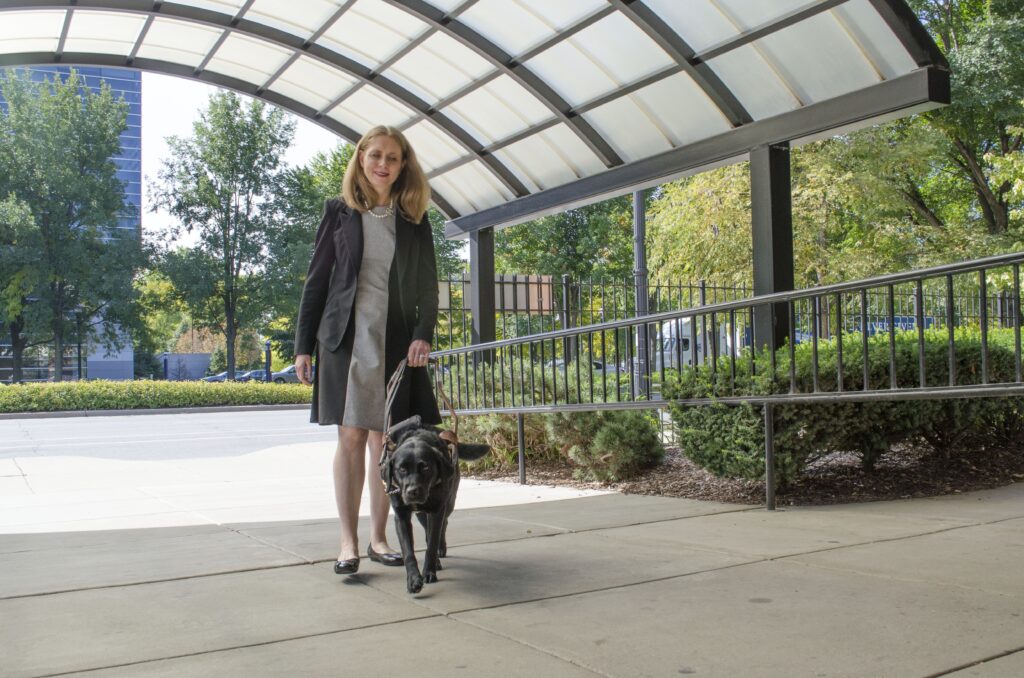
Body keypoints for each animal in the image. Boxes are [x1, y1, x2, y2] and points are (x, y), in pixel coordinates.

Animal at [385, 413, 491, 594]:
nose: (412, 491)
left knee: (443, 524)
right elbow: (408, 551)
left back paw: (440, 552)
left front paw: (429, 572)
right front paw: (413, 579)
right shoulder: (401, 516)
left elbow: (432, 544)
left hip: (448, 503)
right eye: (402, 469)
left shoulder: (436, 511)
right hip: (421, 513)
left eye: (426, 467)